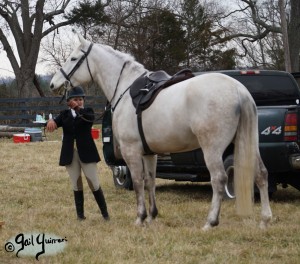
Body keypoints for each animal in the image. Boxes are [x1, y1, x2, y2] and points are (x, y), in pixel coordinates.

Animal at [49, 30, 272, 229]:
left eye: (73, 58)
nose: (52, 84)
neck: (124, 89)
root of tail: (239, 90)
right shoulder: (150, 153)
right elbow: (150, 181)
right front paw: (152, 216)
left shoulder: (131, 152)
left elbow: (138, 182)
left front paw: (140, 218)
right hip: (248, 143)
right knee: (261, 174)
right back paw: (265, 220)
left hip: (213, 149)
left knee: (219, 180)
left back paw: (211, 222)